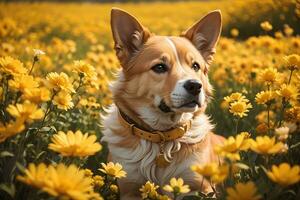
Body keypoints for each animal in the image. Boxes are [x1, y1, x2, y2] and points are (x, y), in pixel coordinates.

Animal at [102, 7, 224, 198]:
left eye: (195, 66)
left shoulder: (200, 186)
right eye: (159, 67)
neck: (161, 137)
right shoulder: (129, 188)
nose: (195, 86)